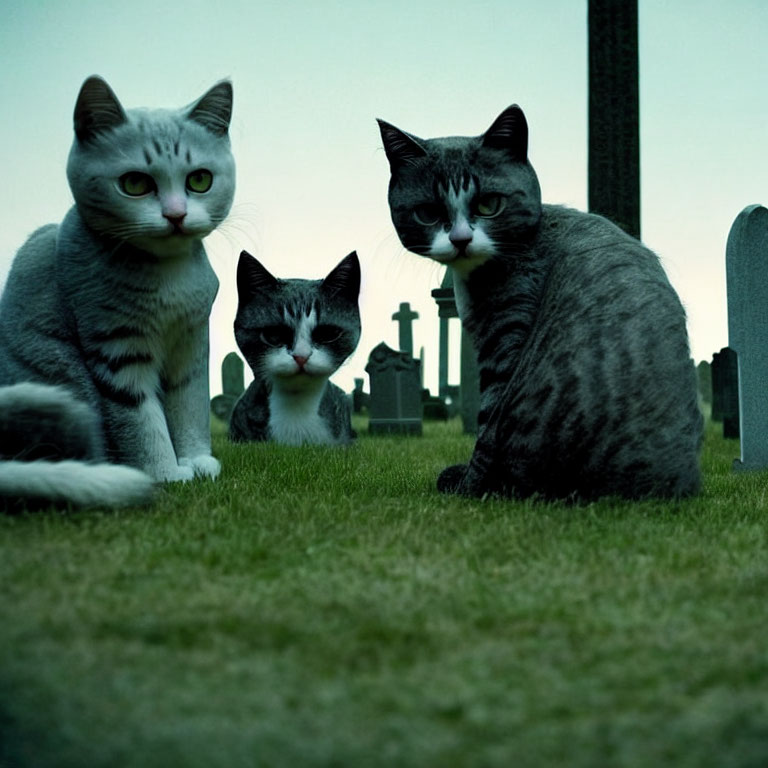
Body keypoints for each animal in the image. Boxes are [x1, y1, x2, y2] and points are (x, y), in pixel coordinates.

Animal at [0, 75, 236, 508]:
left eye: (199, 180)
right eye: (134, 183)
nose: (176, 215)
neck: (169, 275)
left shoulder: (193, 342)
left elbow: (189, 402)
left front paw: (196, 459)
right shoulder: (116, 345)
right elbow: (139, 419)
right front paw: (166, 472)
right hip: (59, 392)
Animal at [378, 105, 704, 500]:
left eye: (489, 204)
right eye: (427, 212)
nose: (460, 239)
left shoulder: (508, 331)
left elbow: (487, 424)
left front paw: (468, 486)